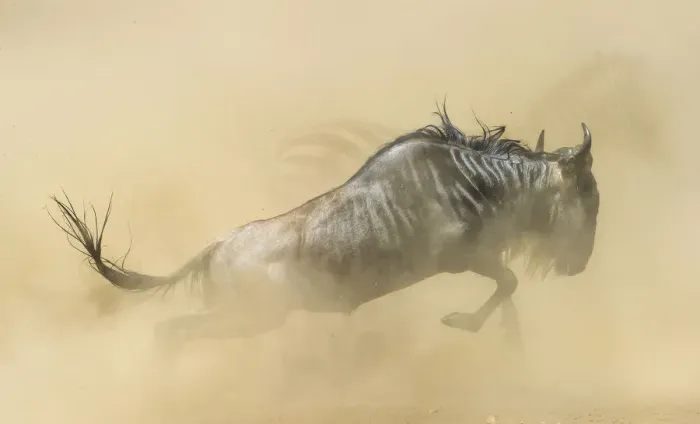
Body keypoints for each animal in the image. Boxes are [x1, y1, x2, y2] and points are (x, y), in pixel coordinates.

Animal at [48, 103, 599, 350]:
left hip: (245, 318)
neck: (474, 182)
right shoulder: (459, 258)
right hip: (251, 317)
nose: (579, 266)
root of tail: (216, 248)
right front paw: (463, 323)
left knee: (173, 331)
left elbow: (508, 289)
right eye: (590, 198)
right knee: (173, 331)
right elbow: (509, 282)